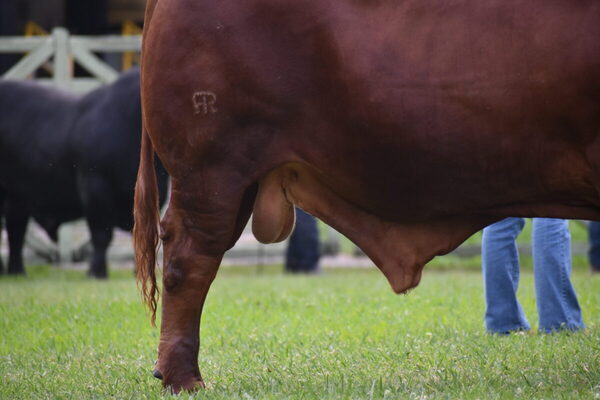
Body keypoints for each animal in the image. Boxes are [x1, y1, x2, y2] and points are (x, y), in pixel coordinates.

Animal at [0, 69, 168, 276]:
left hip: (17, 196)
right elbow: (102, 235)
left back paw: (17, 271)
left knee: (16, 229)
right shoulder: (94, 187)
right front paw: (97, 272)